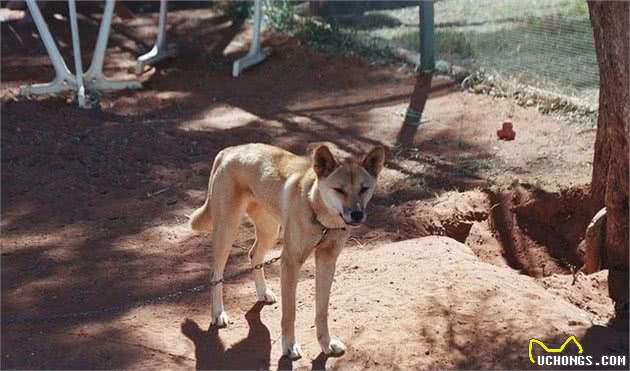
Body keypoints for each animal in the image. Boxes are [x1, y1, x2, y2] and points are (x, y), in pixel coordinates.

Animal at [190, 143, 386, 360]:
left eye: (364, 189)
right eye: (339, 190)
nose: (357, 214)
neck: (319, 214)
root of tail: (231, 150)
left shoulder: (327, 261)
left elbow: (322, 311)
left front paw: (326, 344)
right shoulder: (290, 263)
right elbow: (290, 313)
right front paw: (289, 346)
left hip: (269, 231)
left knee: (254, 256)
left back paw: (263, 292)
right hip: (227, 232)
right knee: (215, 274)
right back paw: (218, 313)